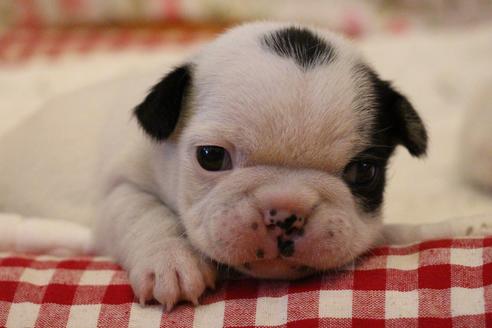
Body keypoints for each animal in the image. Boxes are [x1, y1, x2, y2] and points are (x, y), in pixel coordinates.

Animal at [0, 23, 492, 310]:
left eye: (364, 172)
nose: (286, 210)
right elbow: (144, 212)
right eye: (211, 157)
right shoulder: (119, 188)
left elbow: (398, 231)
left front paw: (462, 225)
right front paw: (170, 261)